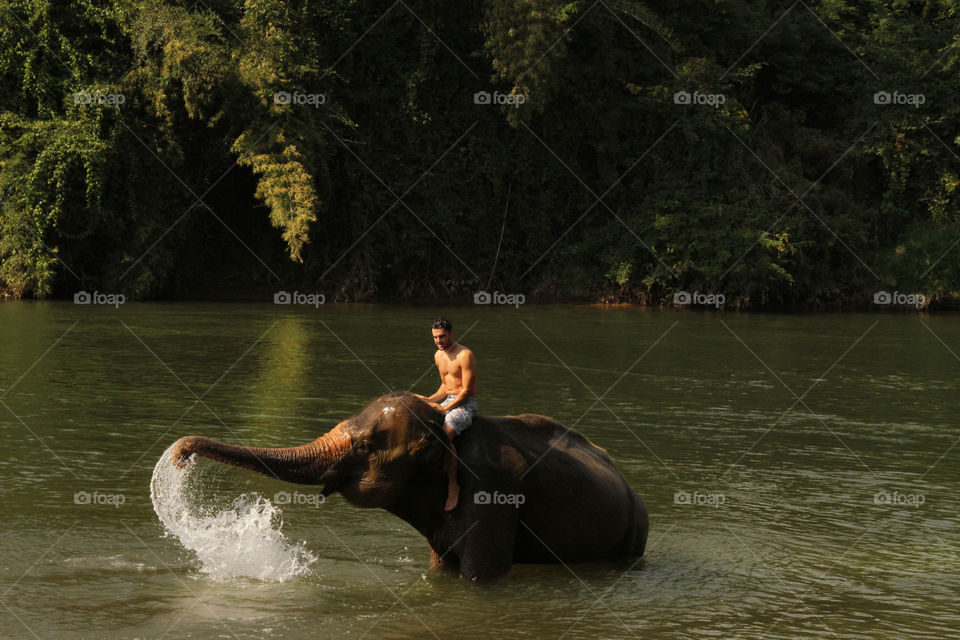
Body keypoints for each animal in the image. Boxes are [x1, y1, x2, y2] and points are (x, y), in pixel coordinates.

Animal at [170, 392, 649, 580]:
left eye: (365, 446)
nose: (180, 454)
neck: (445, 431)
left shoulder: (493, 491)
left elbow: (480, 575)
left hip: (634, 530)